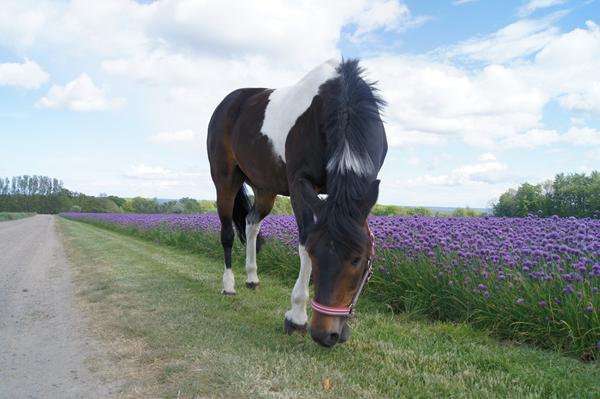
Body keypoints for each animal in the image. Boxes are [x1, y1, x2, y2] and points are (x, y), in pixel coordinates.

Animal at [206, 57, 386, 348]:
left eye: (358, 260)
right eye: (314, 252)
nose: (326, 335)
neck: (341, 105)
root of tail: (229, 102)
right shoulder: (300, 184)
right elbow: (303, 241)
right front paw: (297, 317)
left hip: (265, 188)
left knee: (251, 223)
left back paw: (252, 277)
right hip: (225, 181)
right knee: (227, 233)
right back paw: (229, 285)